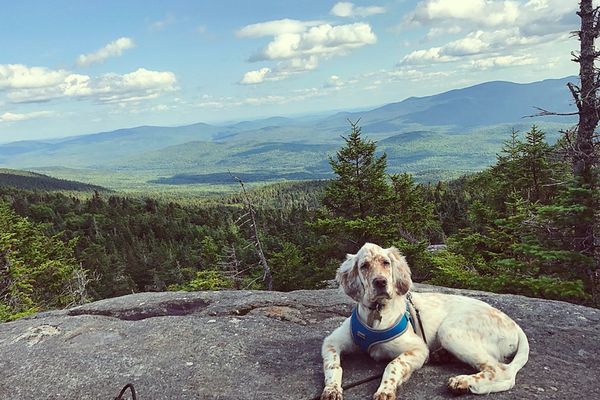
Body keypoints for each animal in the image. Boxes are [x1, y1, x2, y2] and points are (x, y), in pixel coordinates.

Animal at [322, 242, 528, 398]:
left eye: (386, 263)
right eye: (364, 266)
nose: (380, 282)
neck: (376, 313)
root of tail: (514, 324)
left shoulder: (418, 349)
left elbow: (393, 364)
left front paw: (385, 390)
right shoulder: (331, 342)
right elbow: (333, 364)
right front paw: (332, 389)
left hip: (450, 330)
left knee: (500, 369)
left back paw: (461, 382)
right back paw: (443, 356)